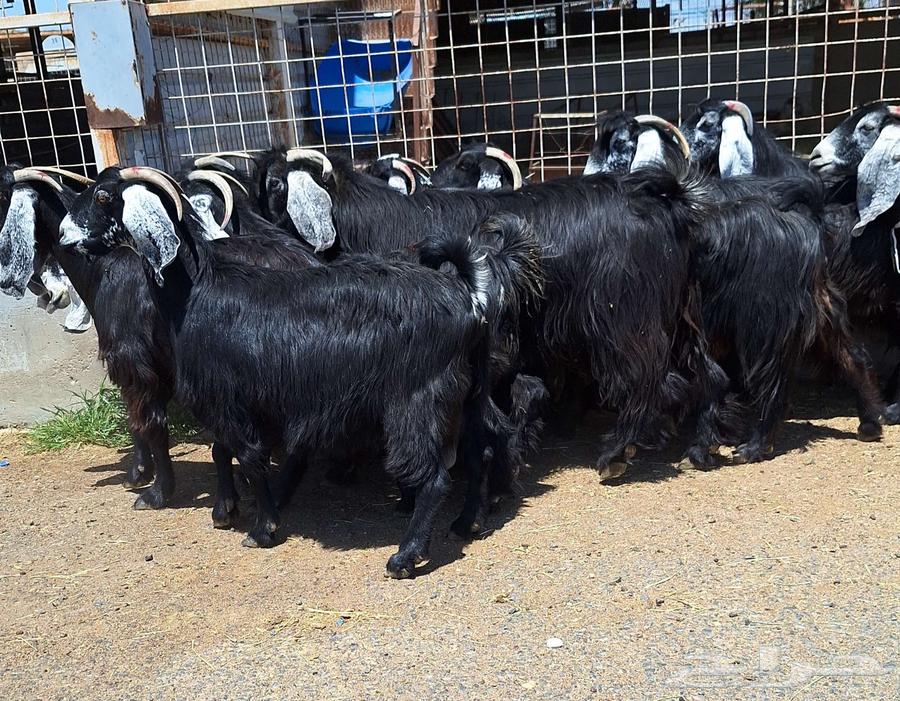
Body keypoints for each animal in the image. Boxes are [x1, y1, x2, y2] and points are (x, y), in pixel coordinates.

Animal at [58, 167, 534, 578]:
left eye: (104, 196)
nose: (64, 236)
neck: (197, 290)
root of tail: (469, 297)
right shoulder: (237, 400)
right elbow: (225, 452)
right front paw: (227, 511)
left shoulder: (228, 398)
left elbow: (249, 457)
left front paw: (262, 529)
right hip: (469, 395)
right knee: (482, 448)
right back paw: (469, 523)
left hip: (418, 401)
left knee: (434, 476)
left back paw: (406, 556)